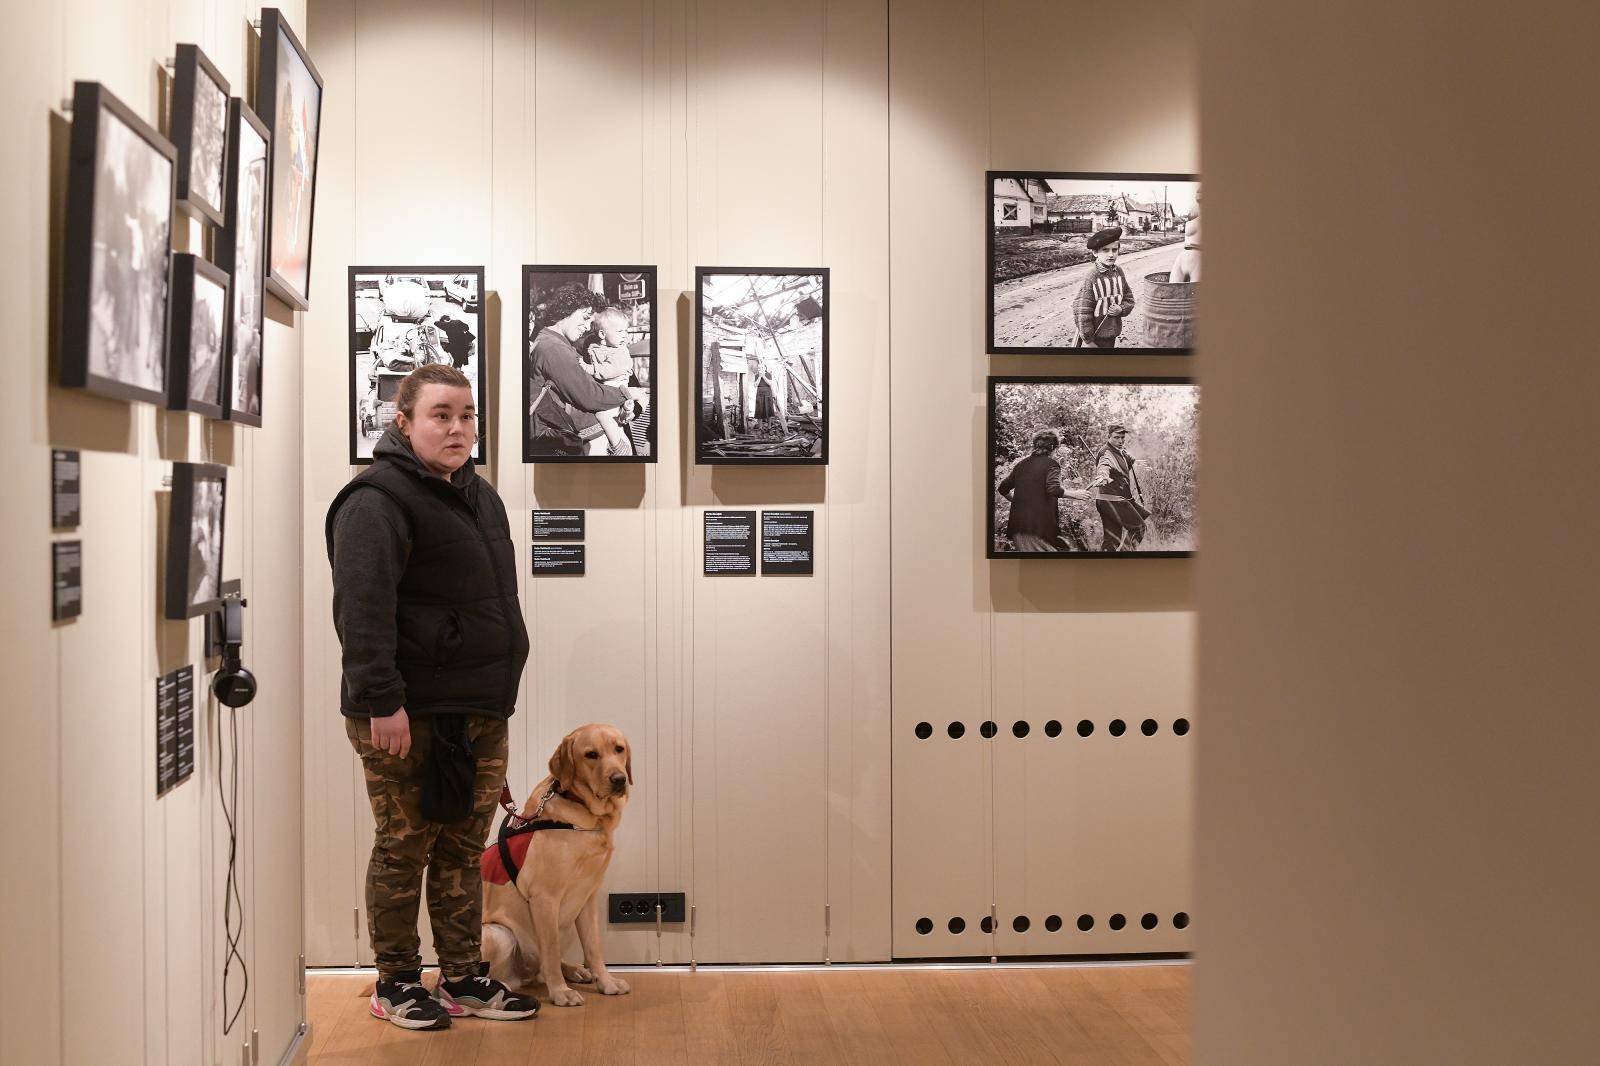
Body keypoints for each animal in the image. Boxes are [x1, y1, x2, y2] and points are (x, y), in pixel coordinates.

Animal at [476, 717, 633, 998]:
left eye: (619, 749)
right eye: (591, 754)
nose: (619, 779)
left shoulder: (587, 897)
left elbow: (593, 947)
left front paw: (606, 982)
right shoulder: (545, 898)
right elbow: (550, 950)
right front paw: (560, 992)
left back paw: (573, 970)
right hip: (500, 933)